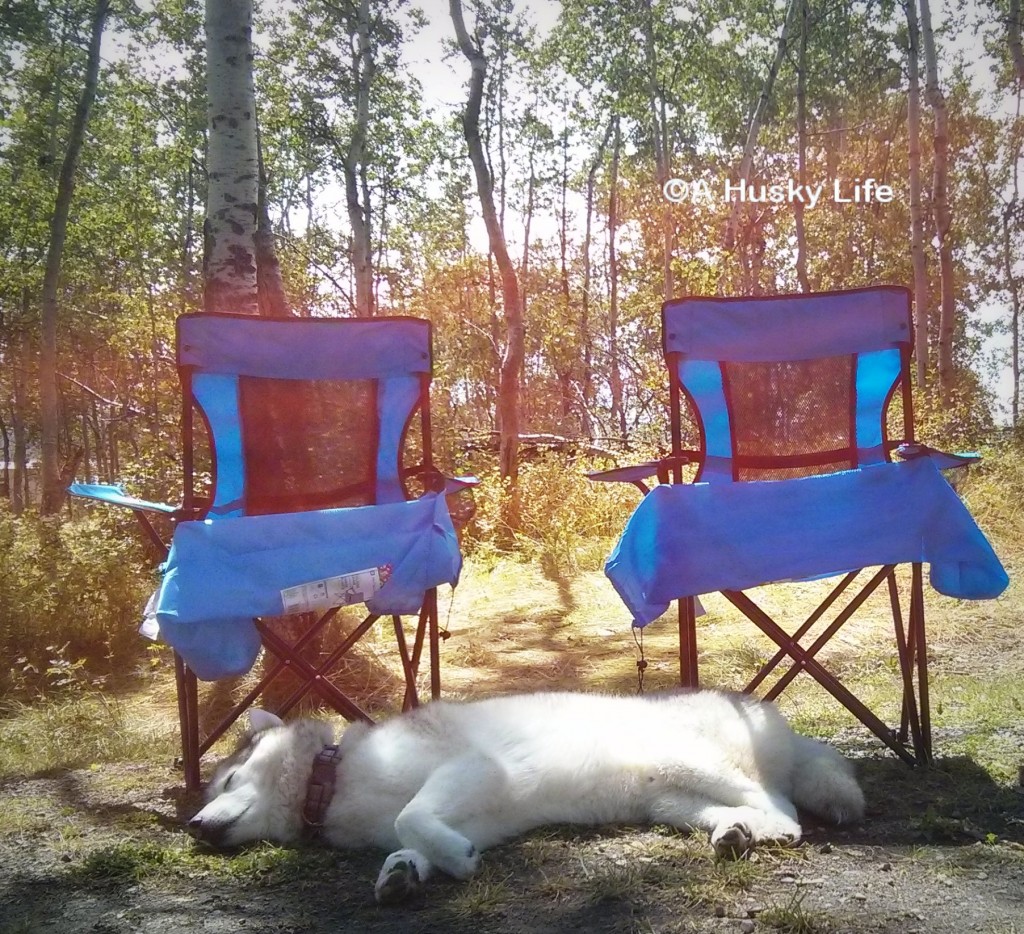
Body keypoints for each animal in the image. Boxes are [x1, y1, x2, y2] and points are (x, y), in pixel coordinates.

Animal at [188, 688, 860, 901]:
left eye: (226, 781)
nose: (191, 827)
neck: (331, 780)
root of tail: (771, 717)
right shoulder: (474, 813)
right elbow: (412, 840)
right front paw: (403, 872)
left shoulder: (472, 768)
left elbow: (410, 816)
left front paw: (445, 862)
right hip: (673, 800)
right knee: (735, 810)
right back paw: (733, 835)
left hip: (691, 762)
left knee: (784, 806)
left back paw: (773, 830)